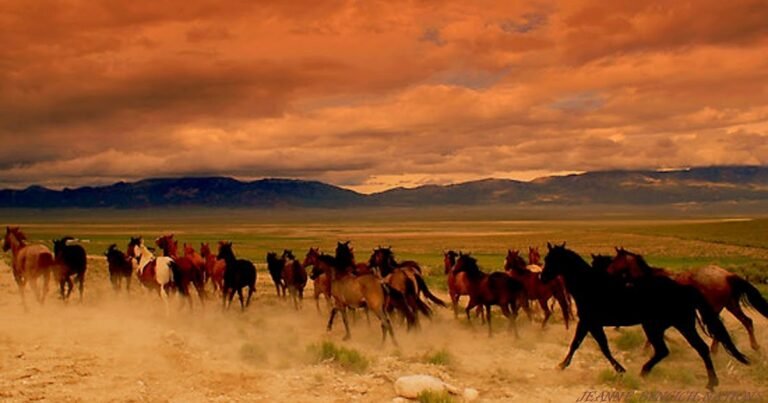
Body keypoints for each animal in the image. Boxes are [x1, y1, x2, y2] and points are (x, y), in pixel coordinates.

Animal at [541, 243, 749, 391]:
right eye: (546, 258)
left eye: (552, 260)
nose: (542, 278)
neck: (590, 285)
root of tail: (685, 289)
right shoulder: (590, 323)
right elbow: (588, 345)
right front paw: (563, 365)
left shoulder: (590, 322)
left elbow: (593, 346)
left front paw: (619, 369)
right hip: (668, 325)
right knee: (682, 349)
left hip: (669, 325)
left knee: (683, 349)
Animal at [607, 248, 768, 352]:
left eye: (615, 260)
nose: (607, 271)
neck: (650, 278)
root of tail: (727, 275)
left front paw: (646, 349)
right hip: (731, 304)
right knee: (747, 321)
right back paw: (754, 347)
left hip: (715, 307)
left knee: (720, 326)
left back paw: (715, 350)